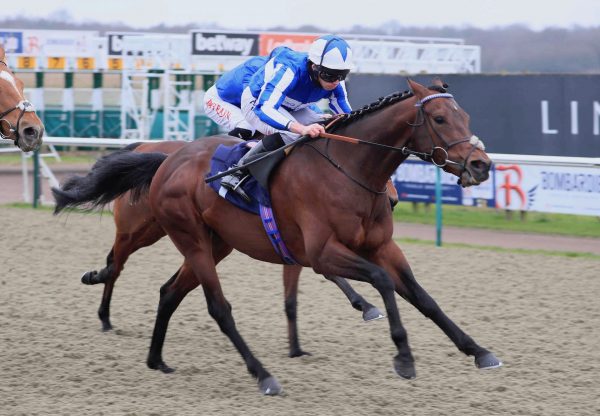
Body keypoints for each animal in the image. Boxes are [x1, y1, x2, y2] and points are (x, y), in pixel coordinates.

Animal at [84, 141, 384, 360]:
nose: (390, 200)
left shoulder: (298, 248)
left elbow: (299, 295)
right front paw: (365, 305)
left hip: (199, 240)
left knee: (153, 277)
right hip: (141, 229)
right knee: (116, 262)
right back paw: (102, 304)